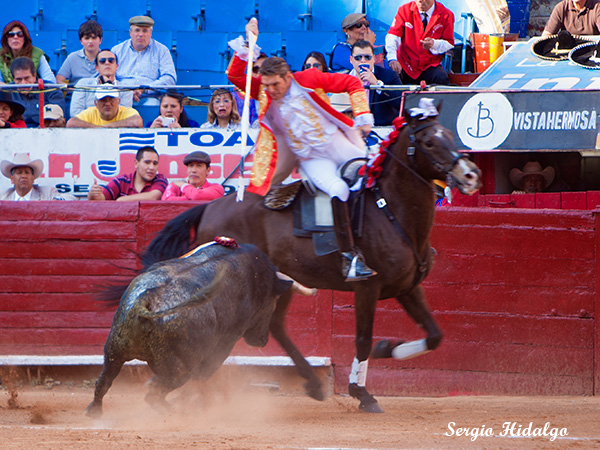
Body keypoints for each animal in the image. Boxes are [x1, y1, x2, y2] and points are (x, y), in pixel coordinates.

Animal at [85, 239, 316, 418]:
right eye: (274, 301)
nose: (262, 340)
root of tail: (146, 299)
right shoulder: (225, 342)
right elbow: (205, 373)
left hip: (114, 351)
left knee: (103, 381)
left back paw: (94, 411)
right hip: (178, 370)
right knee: (156, 393)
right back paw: (176, 411)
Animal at [142, 104, 481, 413]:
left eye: (449, 134)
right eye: (428, 142)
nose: (470, 175)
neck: (390, 211)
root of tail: (211, 207)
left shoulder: (408, 287)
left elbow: (434, 335)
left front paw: (388, 349)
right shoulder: (366, 288)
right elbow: (362, 338)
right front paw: (363, 394)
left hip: (280, 282)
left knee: (276, 325)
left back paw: (312, 384)